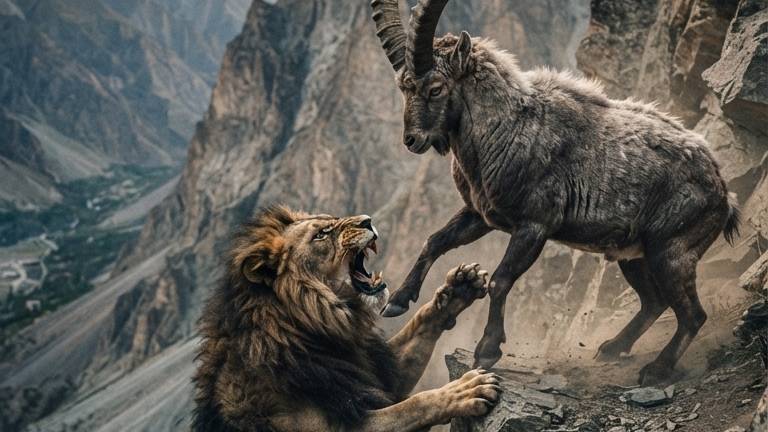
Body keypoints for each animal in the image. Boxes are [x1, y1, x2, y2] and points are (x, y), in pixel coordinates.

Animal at [192, 206, 501, 431]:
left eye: (332, 219)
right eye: (321, 234)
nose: (368, 220)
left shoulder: (370, 372)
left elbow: (418, 328)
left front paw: (460, 286)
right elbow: (413, 405)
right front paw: (465, 390)